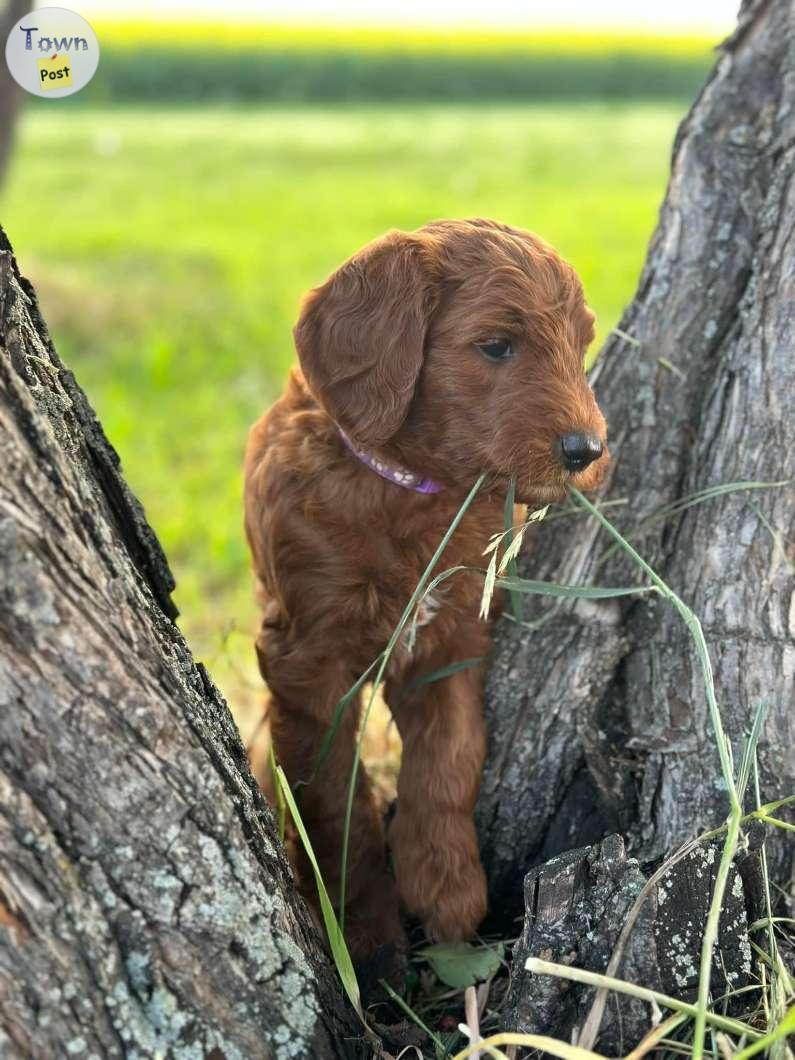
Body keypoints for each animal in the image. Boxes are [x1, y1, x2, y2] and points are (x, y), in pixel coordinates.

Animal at [245, 219, 614, 966]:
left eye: (580, 343)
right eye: (495, 346)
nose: (586, 450)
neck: (402, 485)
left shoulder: (454, 635)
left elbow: (450, 757)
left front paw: (446, 886)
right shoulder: (306, 658)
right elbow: (332, 798)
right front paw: (363, 934)